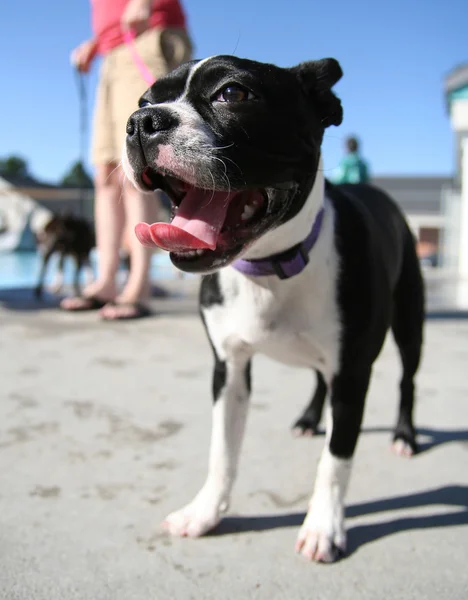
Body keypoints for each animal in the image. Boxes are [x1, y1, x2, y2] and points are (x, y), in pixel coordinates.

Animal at [122, 55, 426, 564]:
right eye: (145, 100)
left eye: (232, 93)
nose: (142, 121)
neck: (268, 267)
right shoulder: (228, 368)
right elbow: (222, 452)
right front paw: (206, 512)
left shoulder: (352, 374)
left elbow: (336, 460)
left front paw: (323, 527)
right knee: (318, 380)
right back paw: (309, 419)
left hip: (409, 326)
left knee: (406, 380)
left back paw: (404, 435)